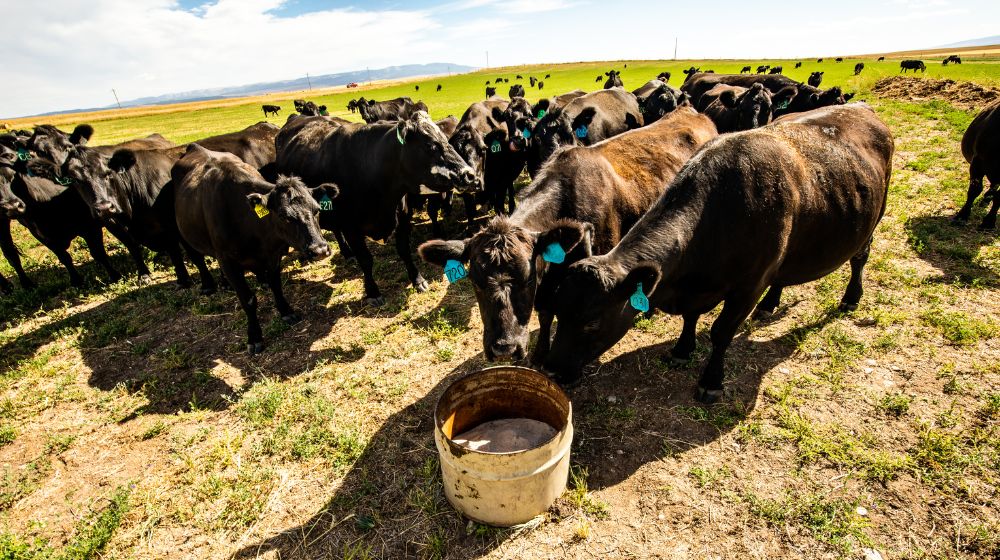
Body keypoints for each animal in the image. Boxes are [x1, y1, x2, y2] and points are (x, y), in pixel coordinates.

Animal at [173, 145, 333, 353]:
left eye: (317, 210)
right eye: (284, 216)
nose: (320, 249)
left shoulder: (273, 254)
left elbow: (276, 285)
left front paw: (286, 311)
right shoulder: (228, 260)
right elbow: (248, 299)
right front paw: (254, 337)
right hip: (185, 235)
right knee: (198, 259)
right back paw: (209, 285)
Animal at [275, 112, 479, 304]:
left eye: (445, 140)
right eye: (431, 146)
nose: (470, 175)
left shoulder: (403, 217)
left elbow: (404, 250)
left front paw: (417, 279)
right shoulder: (351, 228)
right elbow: (365, 260)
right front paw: (373, 292)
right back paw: (347, 252)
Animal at [540, 104, 893, 403]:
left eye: (592, 322)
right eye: (557, 310)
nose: (552, 370)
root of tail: (862, 108)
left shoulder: (748, 286)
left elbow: (721, 333)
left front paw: (711, 382)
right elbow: (691, 318)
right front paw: (683, 350)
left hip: (874, 219)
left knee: (860, 258)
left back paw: (850, 298)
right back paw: (770, 304)